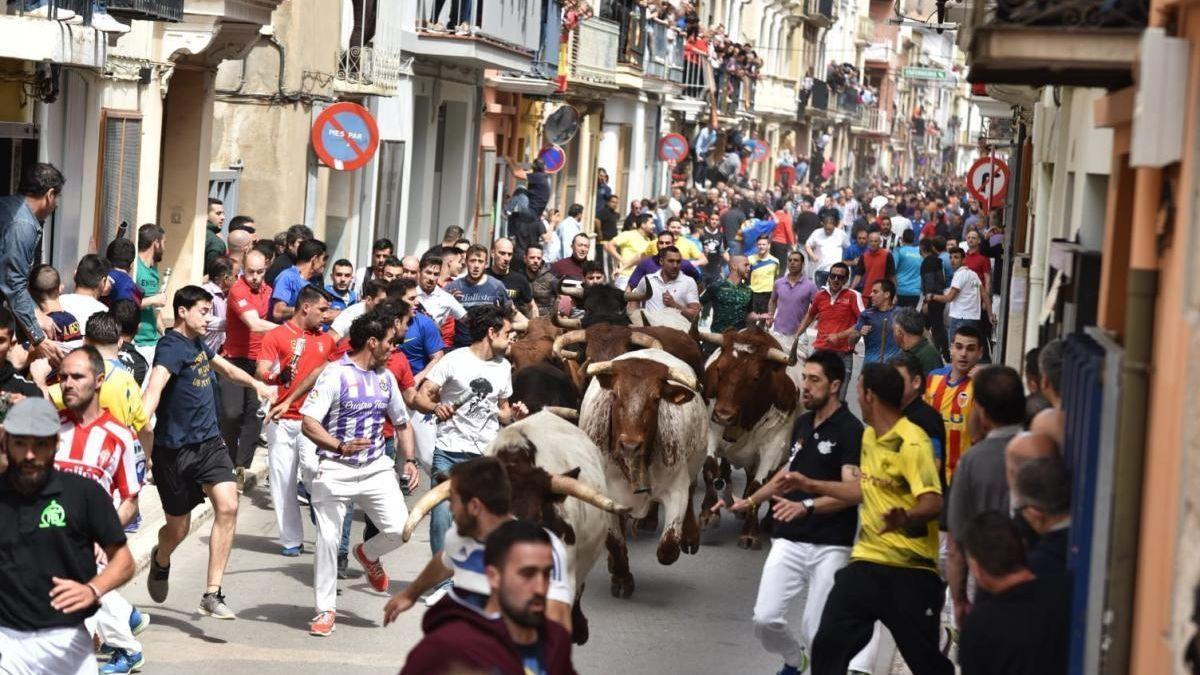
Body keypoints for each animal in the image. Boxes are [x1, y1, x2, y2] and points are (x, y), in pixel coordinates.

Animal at [576, 348, 705, 595]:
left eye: (655, 399)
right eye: (615, 395)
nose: (630, 445)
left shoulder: (677, 489)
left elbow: (668, 547)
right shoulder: (604, 498)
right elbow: (615, 542)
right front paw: (622, 577)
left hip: (695, 464)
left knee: (693, 489)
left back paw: (690, 536)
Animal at [691, 326, 801, 547]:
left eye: (756, 377)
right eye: (719, 369)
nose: (724, 415)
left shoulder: (773, 448)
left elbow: (758, 487)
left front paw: (750, 533)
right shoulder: (711, 432)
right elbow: (710, 469)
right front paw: (708, 514)